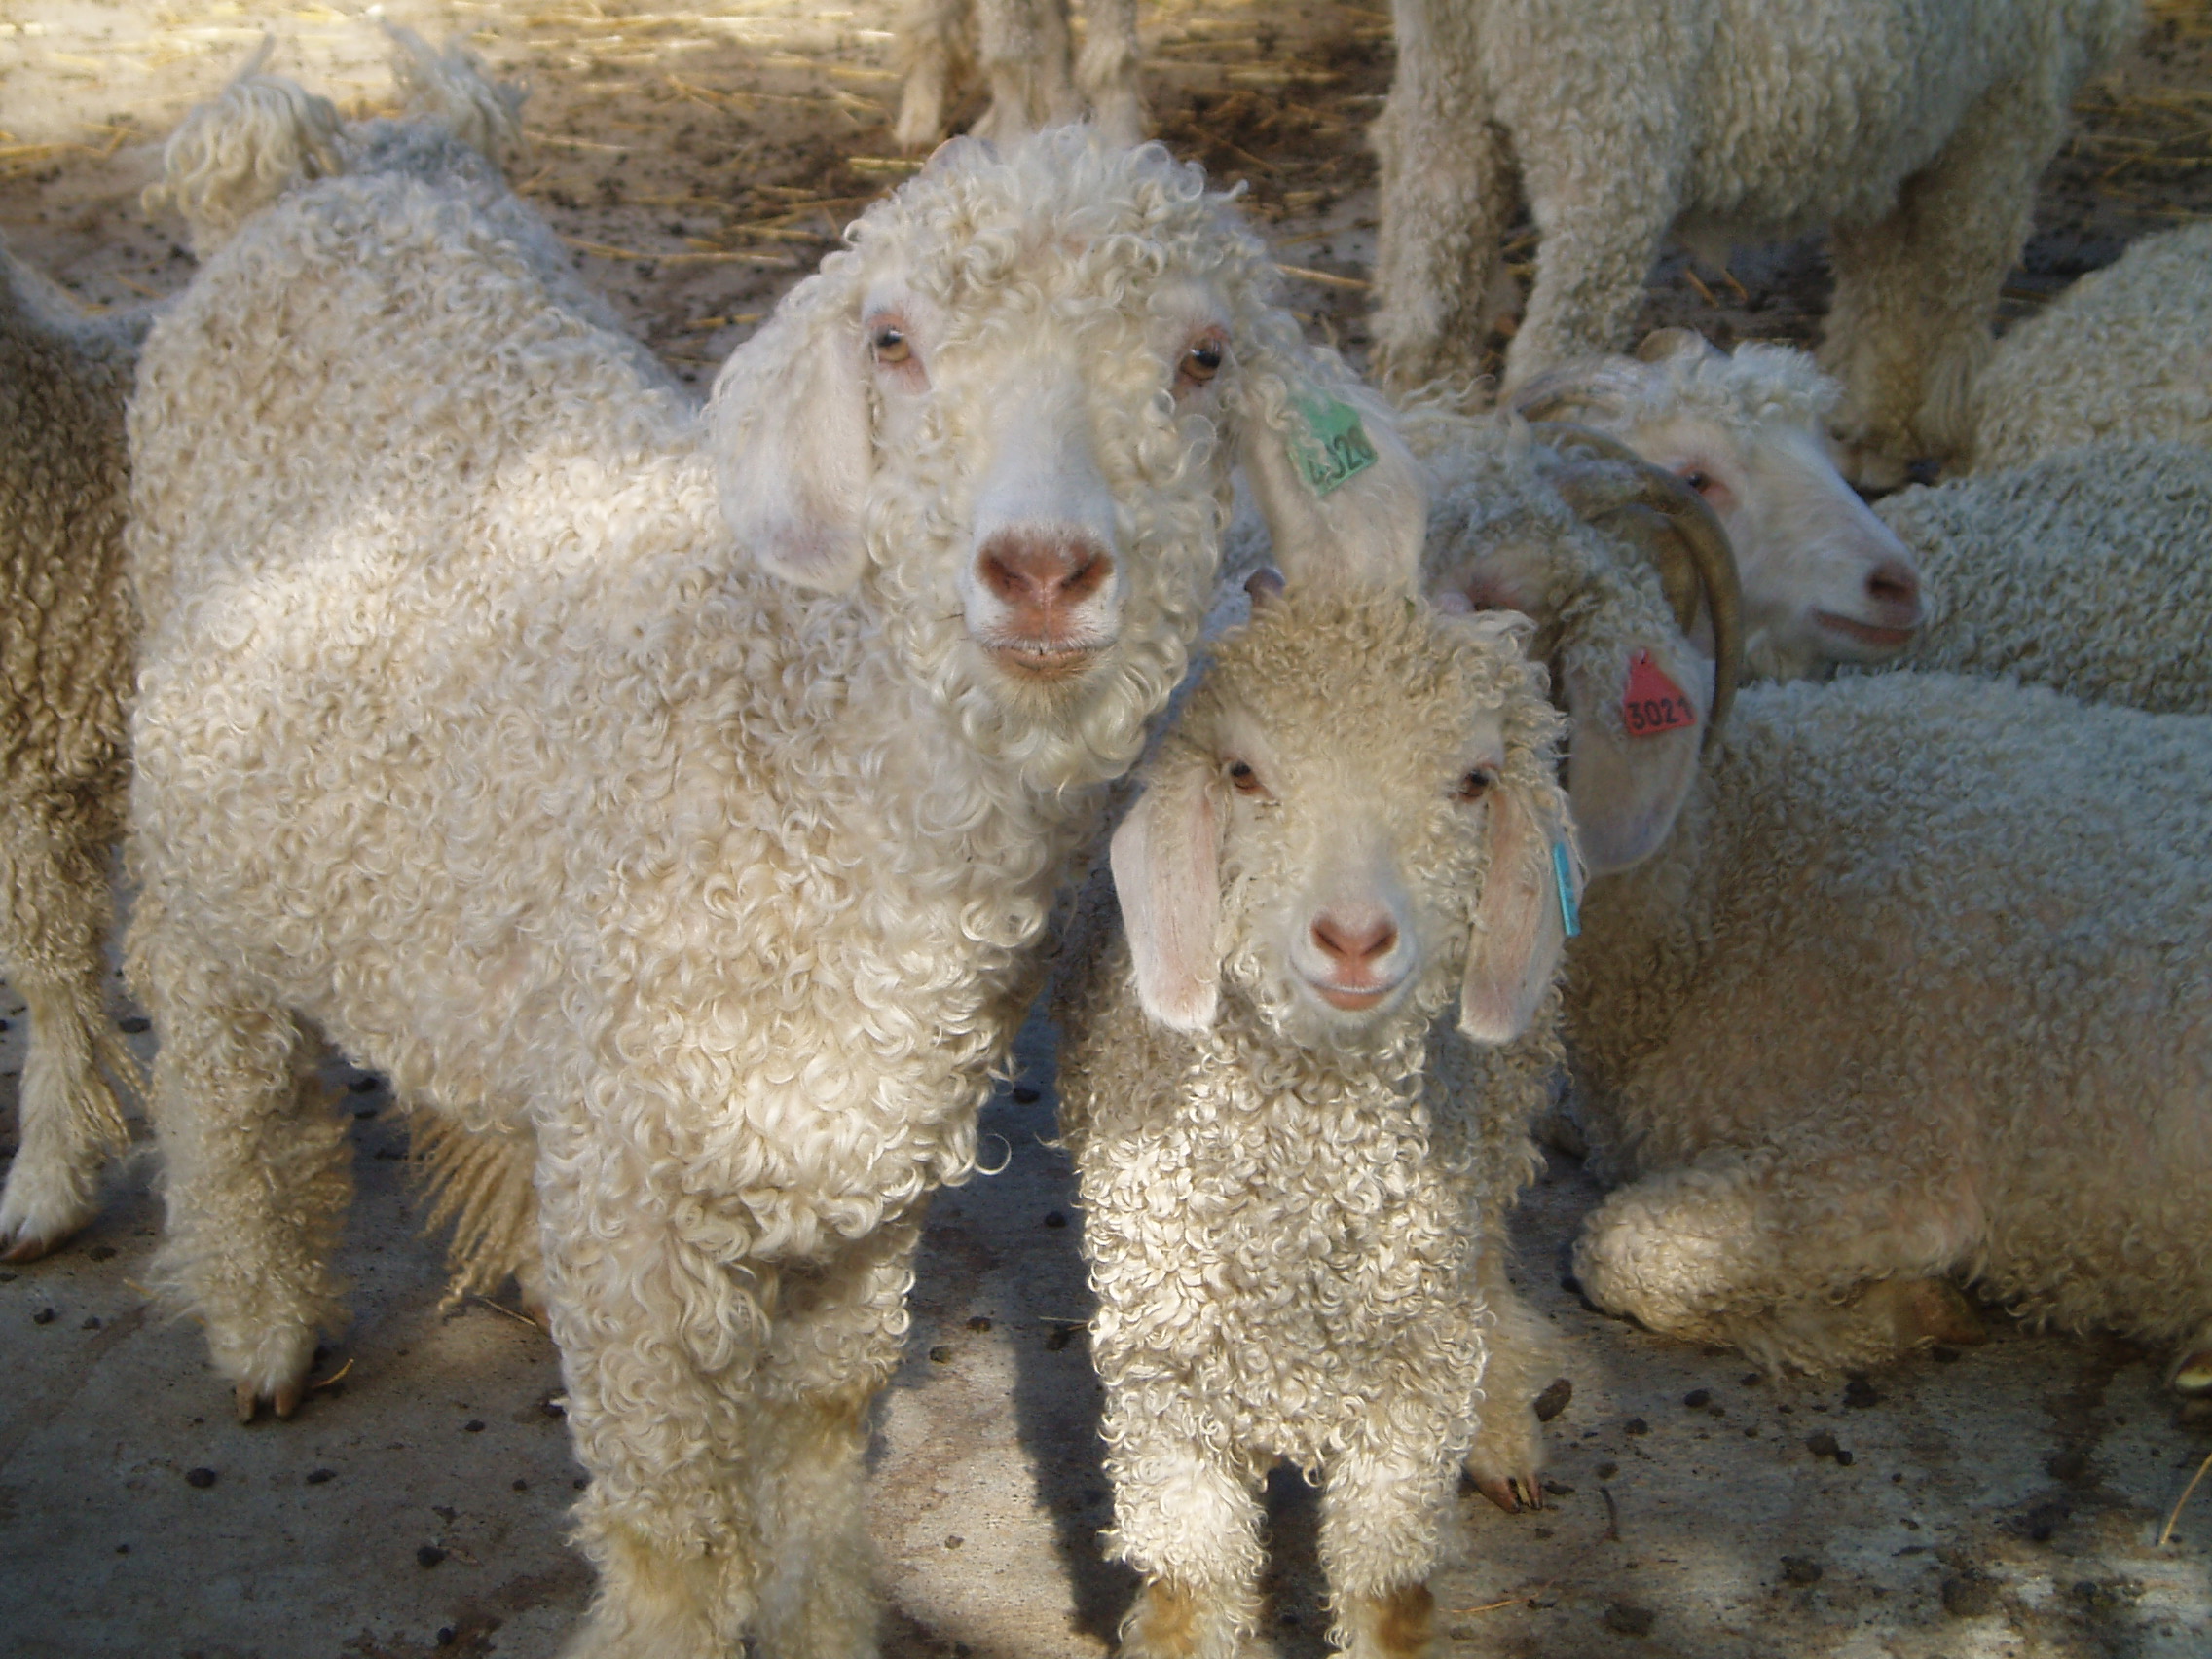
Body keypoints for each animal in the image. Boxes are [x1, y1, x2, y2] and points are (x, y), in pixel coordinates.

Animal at [125, 84, 1433, 1654]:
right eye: (893, 342)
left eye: (1201, 357)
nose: (1041, 570)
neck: (810, 764)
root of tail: (297, 183)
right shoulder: (640, 1190)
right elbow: (675, 1531)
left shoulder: (859, 1178)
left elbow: (819, 1437)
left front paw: (821, 1620)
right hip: (202, 843)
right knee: (222, 1069)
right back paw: (259, 1326)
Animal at [1380, 1, 2141, 480]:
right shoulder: (2006, 107)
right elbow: (1957, 283)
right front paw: (1941, 437)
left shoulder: (1891, 136)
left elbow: (1882, 285)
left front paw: (1869, 430)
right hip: (1604, 107)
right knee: (1554, 343)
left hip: (1447, 96)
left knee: (1426, 308)